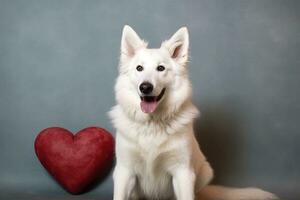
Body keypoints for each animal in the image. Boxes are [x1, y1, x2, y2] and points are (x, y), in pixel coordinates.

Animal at [109, 25, 278, 200]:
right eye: (139, 68)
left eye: (161, 68)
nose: (145, 87)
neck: (153, 123)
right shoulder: (124, 172)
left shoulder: (183, 172)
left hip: (205, 170)